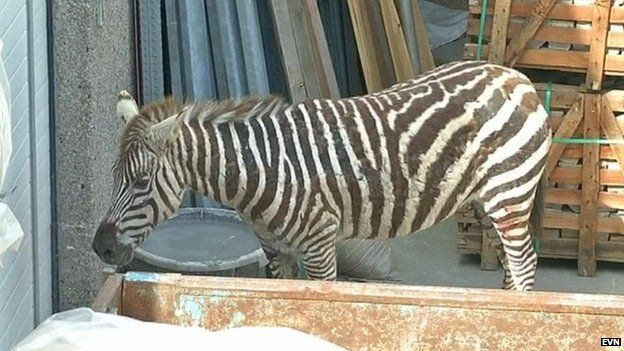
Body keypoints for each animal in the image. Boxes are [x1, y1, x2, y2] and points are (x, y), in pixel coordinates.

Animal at [92, 59, 552, 292]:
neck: (262, 170)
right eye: (114, 177)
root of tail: (516, 76)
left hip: (509, 193)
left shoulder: (319, 246)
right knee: (511, 267)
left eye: (141, 183)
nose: (101, 248)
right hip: (486, 202)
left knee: (525, 263)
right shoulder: (275, 251)